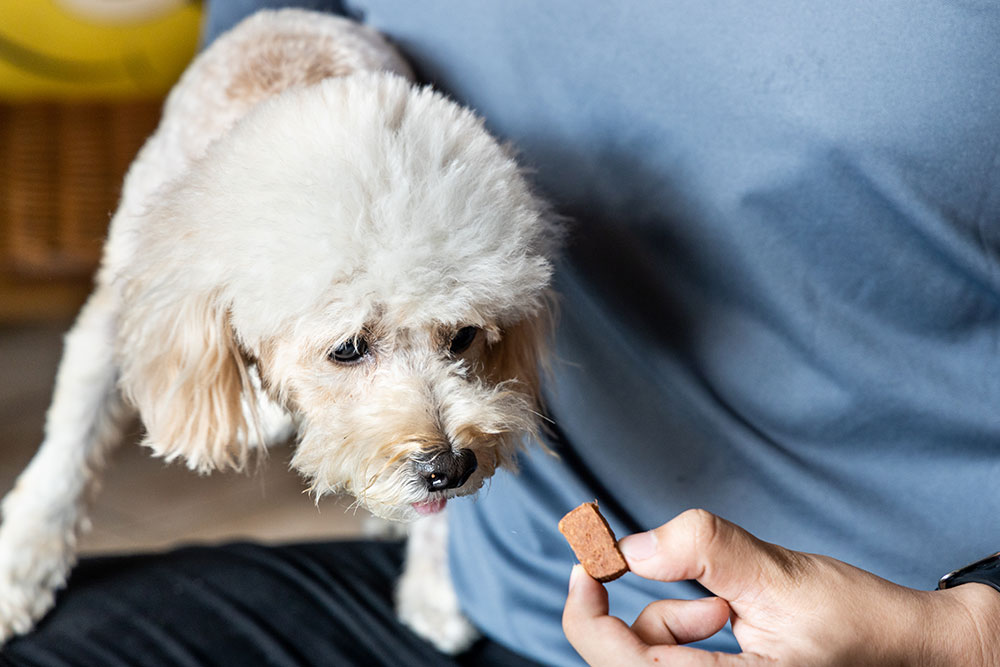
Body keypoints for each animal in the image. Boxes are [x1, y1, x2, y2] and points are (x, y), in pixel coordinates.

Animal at [0, 9, 558, 654]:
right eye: (348, 348)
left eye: (464, 336)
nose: (450, 467)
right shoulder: (126, 305)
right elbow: (71, 439)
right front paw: (20, 564)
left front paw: (436, 584)